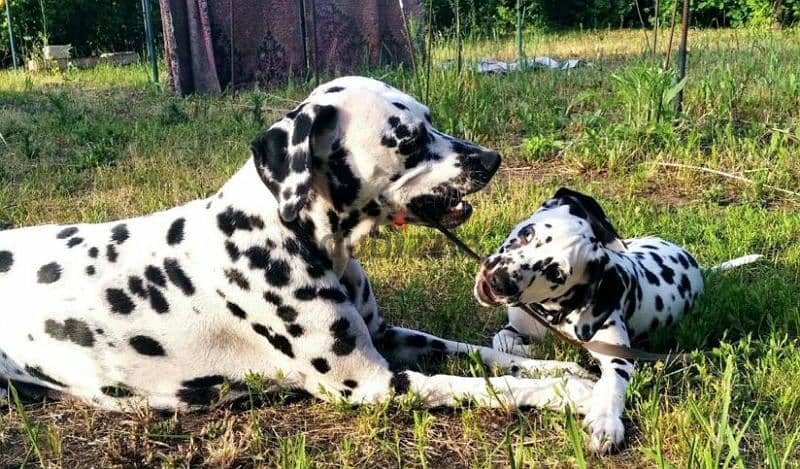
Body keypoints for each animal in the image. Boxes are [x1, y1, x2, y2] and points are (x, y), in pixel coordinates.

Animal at [0, 77, 596, 414]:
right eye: (408, 138)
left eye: (432, 120)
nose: (491, 160)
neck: (293, 233)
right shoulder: (376, 384)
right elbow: (485, 387)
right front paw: (568, 394)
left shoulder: (389, 336)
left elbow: (483, 355)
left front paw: (558, 368)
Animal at [476, 187, 764, 454]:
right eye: (528, 233)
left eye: (556, 273)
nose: (498, 280)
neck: (556, 313)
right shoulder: (514, 327)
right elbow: (502, 341)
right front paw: (536, 352)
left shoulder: (617, 356)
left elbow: (611, 385)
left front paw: (605, 421)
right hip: (626, 244)